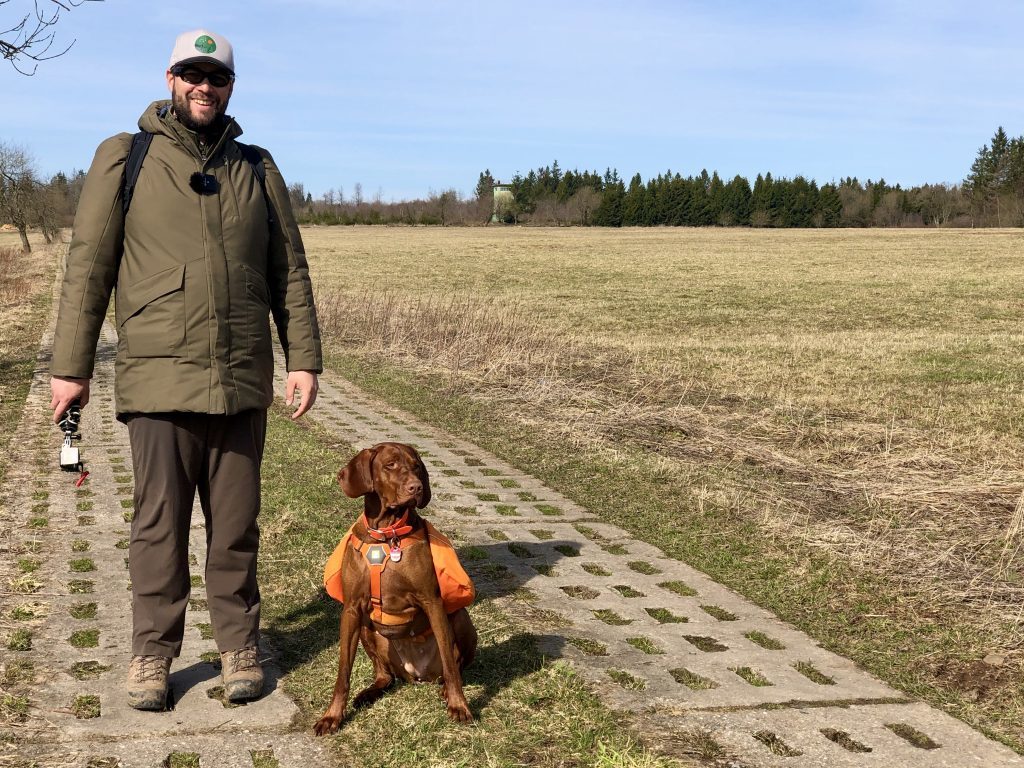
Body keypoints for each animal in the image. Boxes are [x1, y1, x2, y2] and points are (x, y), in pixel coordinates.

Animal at [313, 442, 477, 737]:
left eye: (416, 466)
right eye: (390, 465)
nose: (417, 487)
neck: (386, 534)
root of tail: (416, 675)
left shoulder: (432, 602)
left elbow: (451, 666)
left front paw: (459, 705)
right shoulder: (351, 609)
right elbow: (343, 673)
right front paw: (332, 716)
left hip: (459, 618)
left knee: (453, 666)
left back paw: (446, 691)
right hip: (368, 629)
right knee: (384, 675)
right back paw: (369, 692)